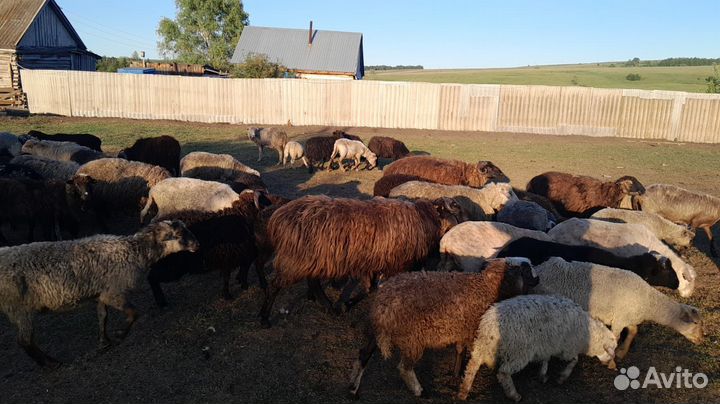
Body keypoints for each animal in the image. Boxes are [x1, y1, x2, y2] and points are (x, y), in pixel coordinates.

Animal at [0, 220, 199, 366]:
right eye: (179, 235)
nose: (197, 245)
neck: (134, 252)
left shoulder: (102, 293)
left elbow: (102, 316)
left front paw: (104, 341)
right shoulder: (114, 292)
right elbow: (134, 313)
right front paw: (119, 335)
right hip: (19, 307)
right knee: (24, 341)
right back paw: (50, 364)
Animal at [260, 195, 466, 326]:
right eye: (452, 207)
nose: (459, 205)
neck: (425, 219)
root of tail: (278, 218)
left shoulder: (372, 262)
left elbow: (369, 287)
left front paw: (346, 304)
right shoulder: (395, 264)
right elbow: (375, 288)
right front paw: (347, 304)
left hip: (312, 259)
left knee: (313, 281)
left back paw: (327, 306)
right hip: (296, 259)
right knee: (275, 285)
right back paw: (264, 319)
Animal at [349, 258, 538, 398]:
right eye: (527, 270)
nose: (537, 279)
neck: (487, 287)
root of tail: (383, 304)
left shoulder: (463, 328)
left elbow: (460, 350)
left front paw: (456, 374)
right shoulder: (473, 330)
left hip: (375, 331)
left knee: (363, 354)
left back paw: (353, 388)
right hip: (412, 339)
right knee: (404, 368)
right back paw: (419, 391)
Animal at [457, 295, 617, 401]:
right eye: (610, 350)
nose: (609, 362)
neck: (588, 334)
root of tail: (489, 325)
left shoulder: (548, 345)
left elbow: (546, 360)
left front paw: (543, 375)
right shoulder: (567, 348)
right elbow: (574, 361)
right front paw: (562, 377)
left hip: (481, 346)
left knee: (472, 366)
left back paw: (464, 391)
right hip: (519, 352)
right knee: (503, 373)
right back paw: (514, 395)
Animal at [533, 257, 703, 364]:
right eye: (695, 323)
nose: (701, 340)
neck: (649, 303)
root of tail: (539, 269)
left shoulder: (627, 318)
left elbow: (633, 331)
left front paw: (622, 352)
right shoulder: (619, 320)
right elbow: (614, 338)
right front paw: (611, 361)